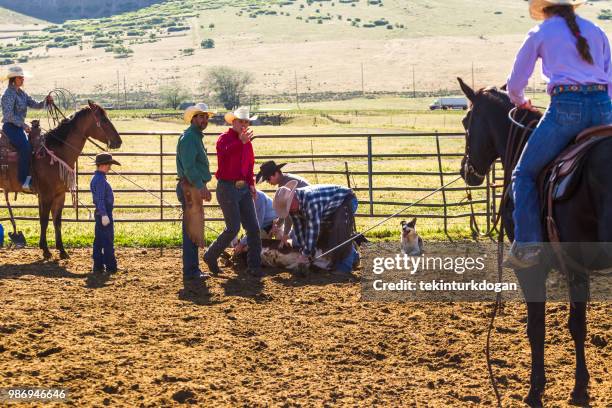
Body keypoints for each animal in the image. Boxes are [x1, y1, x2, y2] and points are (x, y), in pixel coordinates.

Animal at [0, 102, 122, 260]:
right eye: (104, 120)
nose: (119, 141)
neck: (55, 153)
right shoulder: (46, 195)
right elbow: (44, 221)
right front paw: (46, 250)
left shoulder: (59, 195)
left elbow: (56, 221)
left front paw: (62, 250)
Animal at [460, 78, 612, 406]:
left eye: (466, 120)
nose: (466, 171)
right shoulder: (576, 266)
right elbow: (577, 325)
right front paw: (580, 389)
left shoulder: (530, 267)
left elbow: (536, 328)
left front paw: (535, 389)